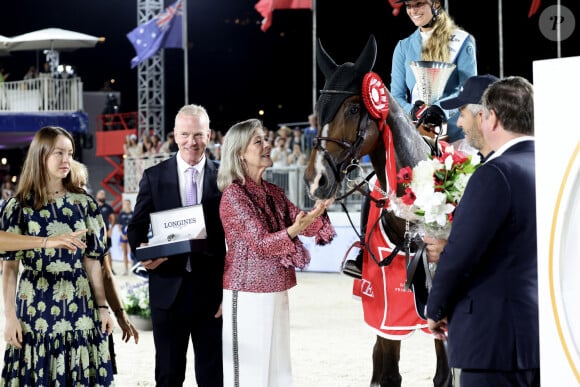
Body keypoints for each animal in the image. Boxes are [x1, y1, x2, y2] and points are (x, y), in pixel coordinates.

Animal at [304, 34, 454, 387]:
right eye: (317, 110)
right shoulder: (385, 311)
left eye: (353, 107)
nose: (316, 179)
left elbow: (445, 375)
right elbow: (387, 374)